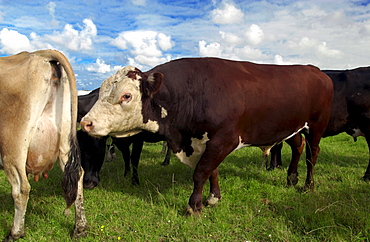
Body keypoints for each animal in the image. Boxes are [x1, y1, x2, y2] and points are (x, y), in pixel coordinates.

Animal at [0, 50, 88, 241]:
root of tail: (35, 55)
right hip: (65, 139)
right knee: (77, 177)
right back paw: (80, 228)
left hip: (12, 145)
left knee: (21, 188)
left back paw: (15, 232)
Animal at [80, 57, 332, 213]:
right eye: (101, 93)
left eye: (126, 96)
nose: (86, 122)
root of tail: (314, 70)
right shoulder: (206, 142)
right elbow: (212, 171)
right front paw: (213, 198)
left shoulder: (223, 140)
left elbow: (201, 172)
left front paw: (194, 206)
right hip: (291, 128)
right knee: (298, 147)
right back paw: (291, 179)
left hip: (316, 126)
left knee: (312, 154)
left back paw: (307, 185)